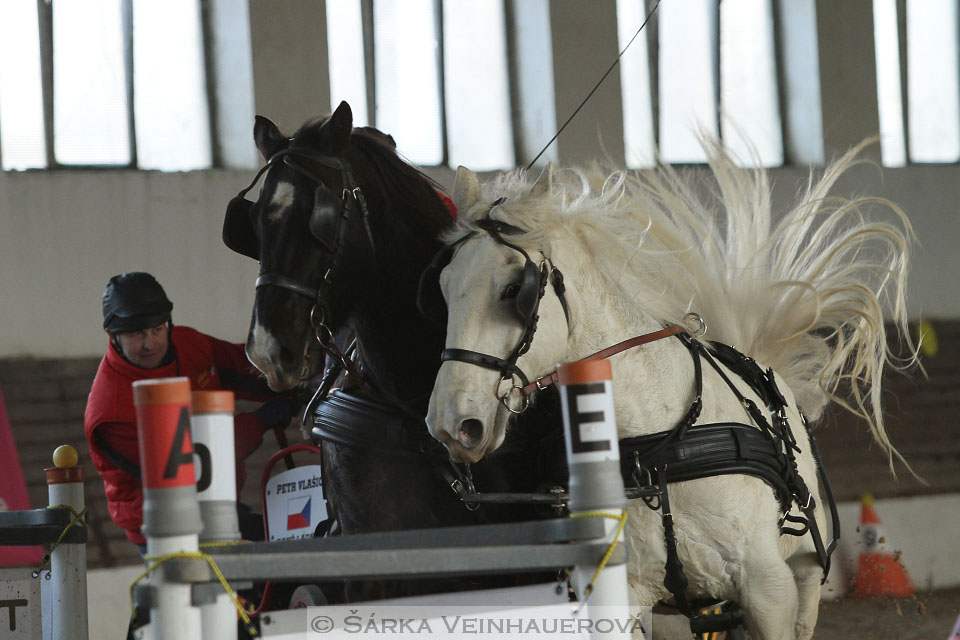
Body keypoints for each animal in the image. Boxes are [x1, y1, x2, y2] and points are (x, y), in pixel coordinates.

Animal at [426, 141, 916, 640]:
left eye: (513, 290)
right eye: (444, 288)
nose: (451, 424)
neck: (657, 448)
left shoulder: (769, 590)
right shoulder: (623, 594)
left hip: (804, 578)